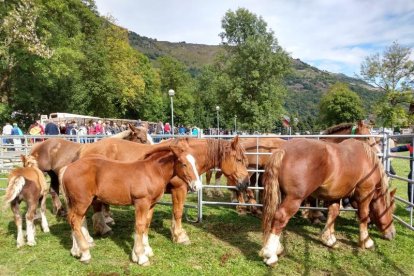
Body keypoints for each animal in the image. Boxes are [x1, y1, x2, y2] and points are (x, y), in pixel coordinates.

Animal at [60, 140, 203, 266]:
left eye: (195, 163)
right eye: (183, 164)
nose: (197, 186)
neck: (152, 172)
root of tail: (67, 168)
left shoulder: (151, 204)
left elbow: (146, 224)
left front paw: (146, 250)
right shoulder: (141, 202)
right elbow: (139, 226)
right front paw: (141, 257)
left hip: (76, 202)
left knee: (73, 221)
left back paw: (76, 251)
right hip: (82, 202)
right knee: (75, 221)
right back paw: (85, 254)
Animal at [260, 139, 396, 266]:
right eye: (391, 209)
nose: (392, 233)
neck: (368, 161)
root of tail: (283, 150)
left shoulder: (335, 195)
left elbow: (333, 214)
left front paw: (329, 239)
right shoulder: (365, 193)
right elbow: (363, 216)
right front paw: (366, 241)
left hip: (282, 195)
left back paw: (277, 249)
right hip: (294, 198)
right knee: (281, 218)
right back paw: (270, 255)